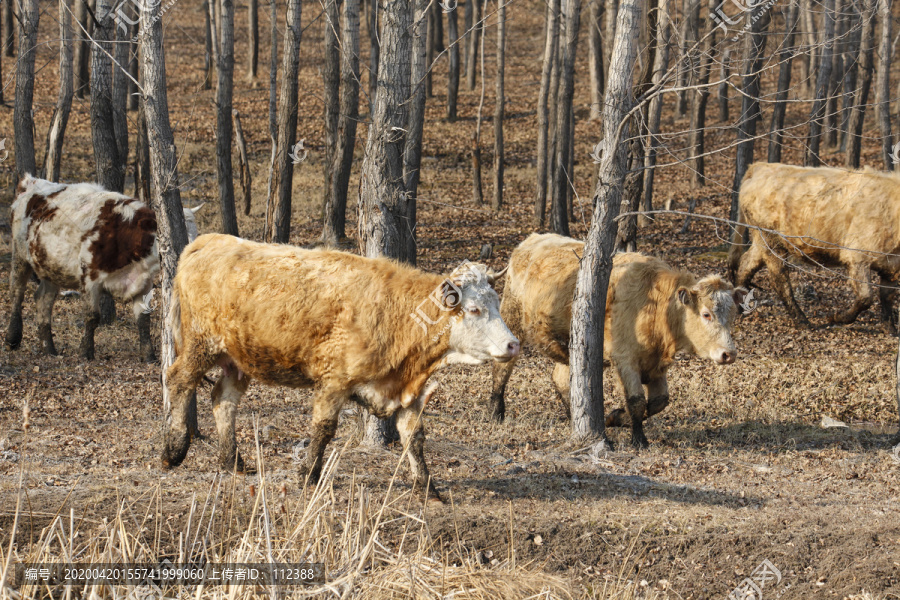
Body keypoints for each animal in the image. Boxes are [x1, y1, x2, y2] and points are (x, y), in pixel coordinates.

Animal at [5, 173, 203, 360]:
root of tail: (30, 182)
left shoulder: (143, 283)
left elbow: (143, 319)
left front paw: (148, 356)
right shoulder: (89, 278)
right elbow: (92, 316)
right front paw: (86, 352)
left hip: (50, 265)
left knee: (43, 299)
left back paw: (49, 348)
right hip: (19, 255)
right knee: (17, 292)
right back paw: (12, 338)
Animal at [162, 234, 520, 502]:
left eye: (496, 303)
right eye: (474, 309)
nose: (513, 344)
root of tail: (208, 240)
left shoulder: (409, 393)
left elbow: (415, 438)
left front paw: (428, 489)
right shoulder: (334, 381)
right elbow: (323, 429)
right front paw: (308, 475)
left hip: (237, 360)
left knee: (223, 399)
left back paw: (232, 461)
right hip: (200, 345)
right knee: (178, 380)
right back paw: (174, 450)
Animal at [488, 232, 748, 448]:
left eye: (732, 314)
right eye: (706, 314)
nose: (729, 354)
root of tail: (531, 239)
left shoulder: (656, 365)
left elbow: (659, 401)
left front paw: (613, 417)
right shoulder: (624, 359)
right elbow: (637, 401)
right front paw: (638, 438)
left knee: (561, 378)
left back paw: (573, 415)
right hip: (512, 319)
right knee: (502, 367)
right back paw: (496, 411)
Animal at [732, 162, 900, 330]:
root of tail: (760, 166)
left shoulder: (891, 267)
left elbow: (887, 296)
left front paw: (890, 328)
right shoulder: (857, 257)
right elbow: (866, 297)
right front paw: (836, 317)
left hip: (762, 240)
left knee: (746, 263)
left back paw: (740, 306)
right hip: (771, 240)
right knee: (780, 280)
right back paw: (802, 321)